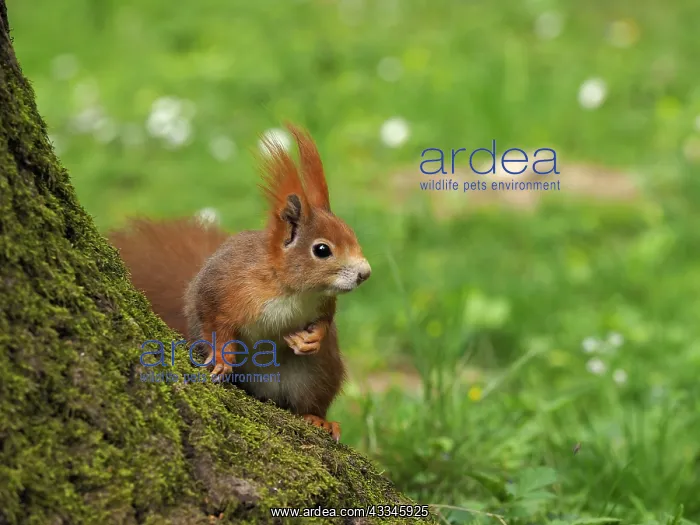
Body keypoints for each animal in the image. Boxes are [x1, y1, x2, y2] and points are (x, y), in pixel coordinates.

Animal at [109, 123, 371, 442]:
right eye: (322, 250)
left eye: (351, 233)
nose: (365, 273)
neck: (290, 289)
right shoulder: (221, 288)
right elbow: (213, 320)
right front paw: (223, 357)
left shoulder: (323, 302)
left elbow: (325, 320)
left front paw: (311, 338)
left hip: (317, 373)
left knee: (309, 403)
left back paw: (318, 419)